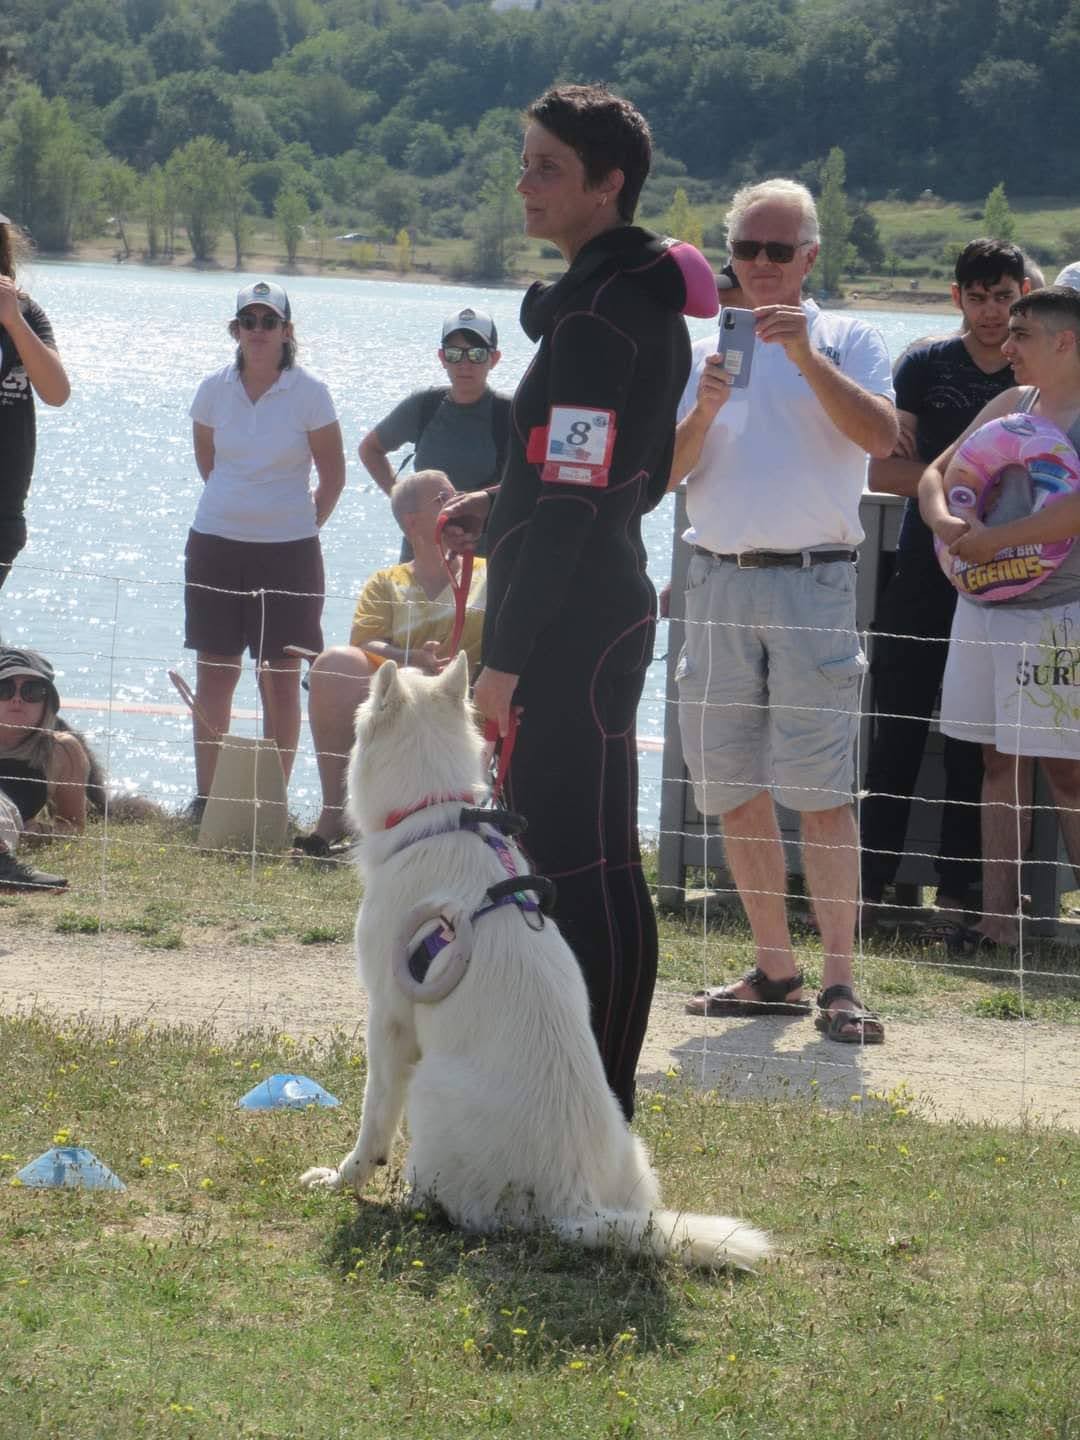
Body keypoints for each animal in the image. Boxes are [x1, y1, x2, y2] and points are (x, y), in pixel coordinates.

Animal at [300, 656, 771, 1272]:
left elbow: (373, 1117)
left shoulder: (390, 1019)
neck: (436, 817)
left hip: (430, 1090)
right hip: (630, 1148)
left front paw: (344, 1179)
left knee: (448, 1207)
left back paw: (410, 1201)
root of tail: (570, 1202)